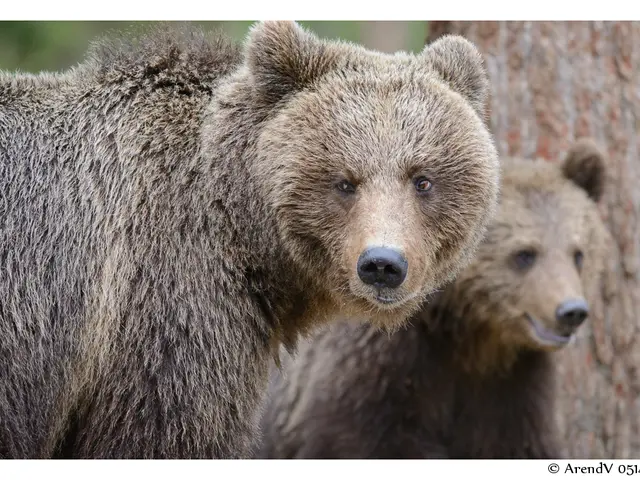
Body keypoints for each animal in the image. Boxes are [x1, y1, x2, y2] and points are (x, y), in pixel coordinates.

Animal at [253, 138, 610, 459]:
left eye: (578, 254)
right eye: (524, 254)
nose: (572, 311)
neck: (472, 337)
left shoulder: (512, 387)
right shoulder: (376, 371)